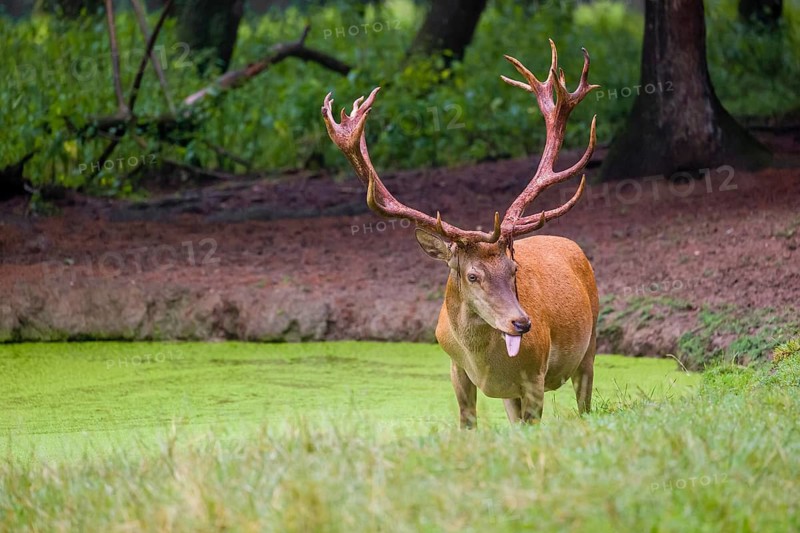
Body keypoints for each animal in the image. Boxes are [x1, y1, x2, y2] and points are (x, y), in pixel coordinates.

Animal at [321, 41, 600, 428]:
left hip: (590, 345)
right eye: (472, 275)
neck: (484, 362)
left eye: (514, 270)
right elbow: (467, 422)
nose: (522, 323)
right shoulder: (457, 370)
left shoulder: (535, 376)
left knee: (586, 400)